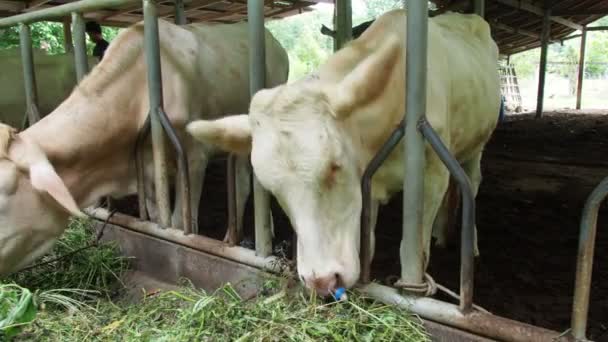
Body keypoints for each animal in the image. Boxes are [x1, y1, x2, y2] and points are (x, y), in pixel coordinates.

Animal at [188, 8, 502, 296]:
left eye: (334, 166)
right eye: (273, 189)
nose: (322, 281)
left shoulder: (432, 176)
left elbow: (413, 250)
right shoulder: (369, 183)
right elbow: (368, 243)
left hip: (478, 144)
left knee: (472, 183)